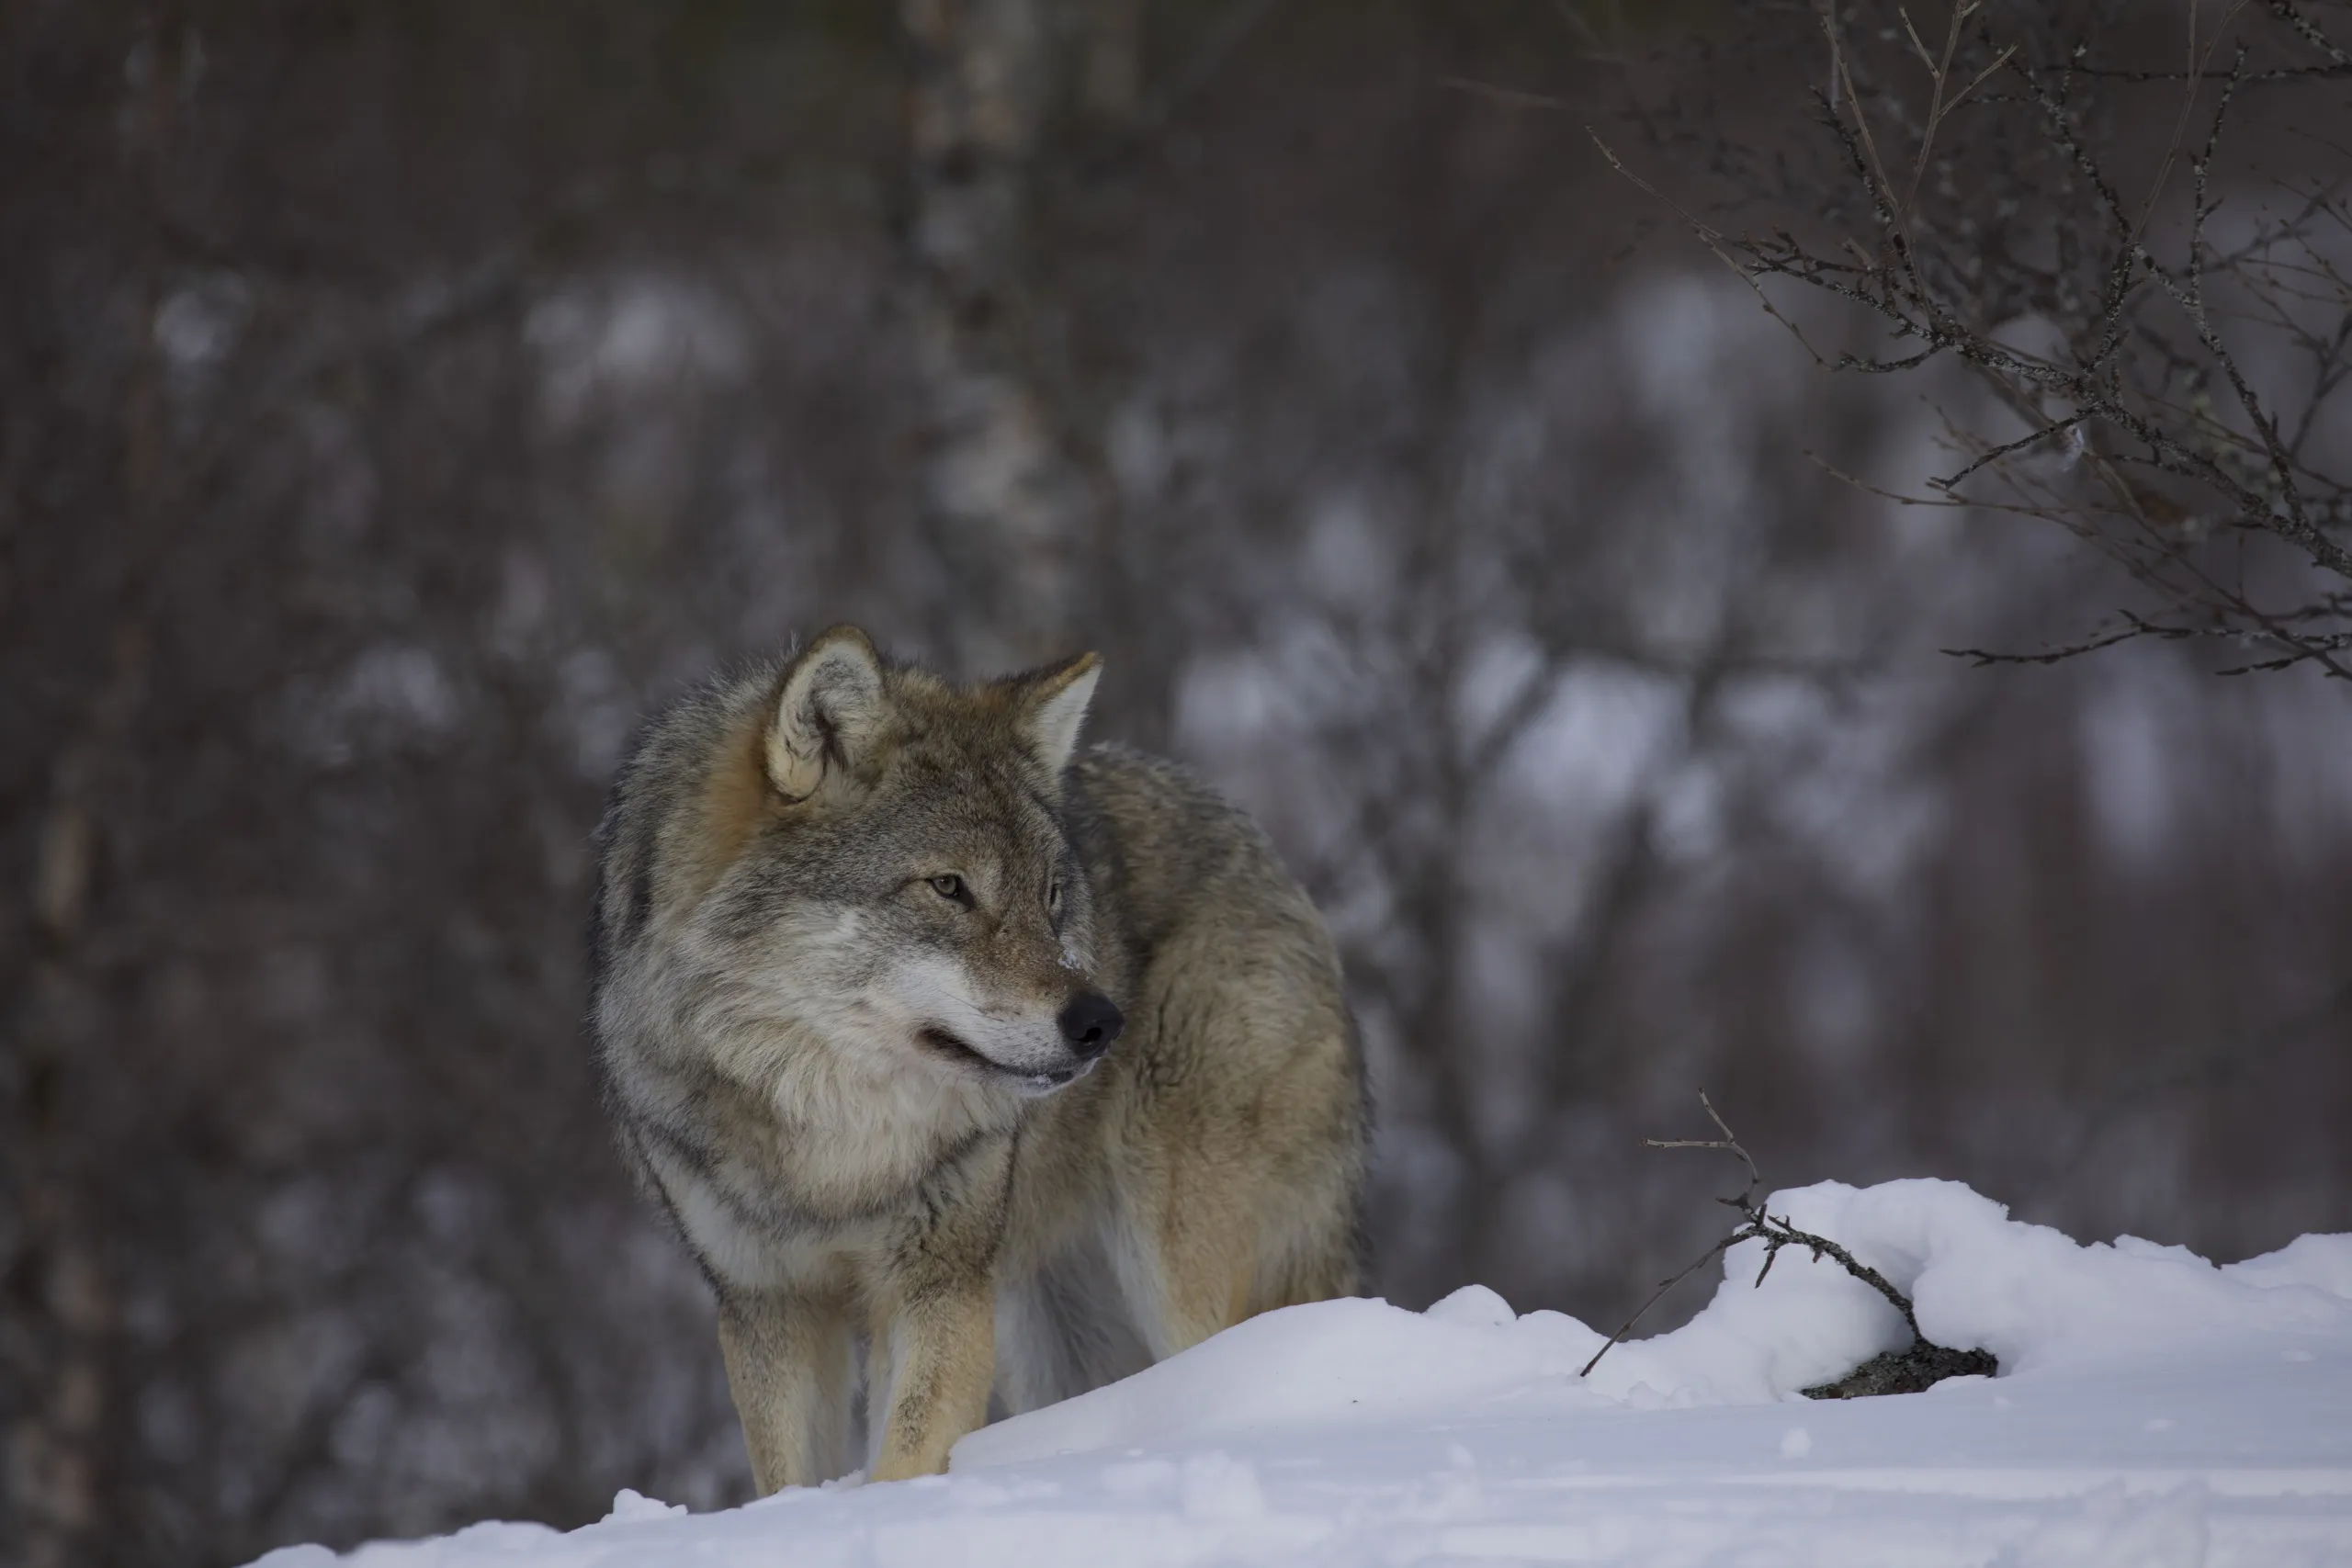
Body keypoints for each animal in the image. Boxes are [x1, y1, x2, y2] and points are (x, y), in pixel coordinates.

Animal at [588, 629, 1374, 1495]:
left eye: (1053, 892)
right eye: (949, 886)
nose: (1102, 1021)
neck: (835, 1155)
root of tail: (1268, 856)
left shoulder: (939, 1286)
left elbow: (905, 1455)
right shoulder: (769, 1308)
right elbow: (792, 1478)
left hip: (1174, 1266)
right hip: (1048, 1324)